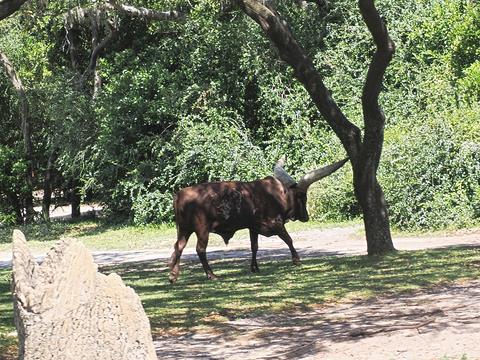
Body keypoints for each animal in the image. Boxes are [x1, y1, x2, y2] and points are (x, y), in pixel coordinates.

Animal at [169, 159, 348, 282]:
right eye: (303, 197)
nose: (306, 217)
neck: (279, 194)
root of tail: (179, 194)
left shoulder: (253, 227)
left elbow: (254, 246)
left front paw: (254, 267)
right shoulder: (276, 223)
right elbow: (289, 239)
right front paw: (296, 259)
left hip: (183, 229)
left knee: (179, 247)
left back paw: (173, 276)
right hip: (202, 229)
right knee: (200, 249)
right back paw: (211, 275)